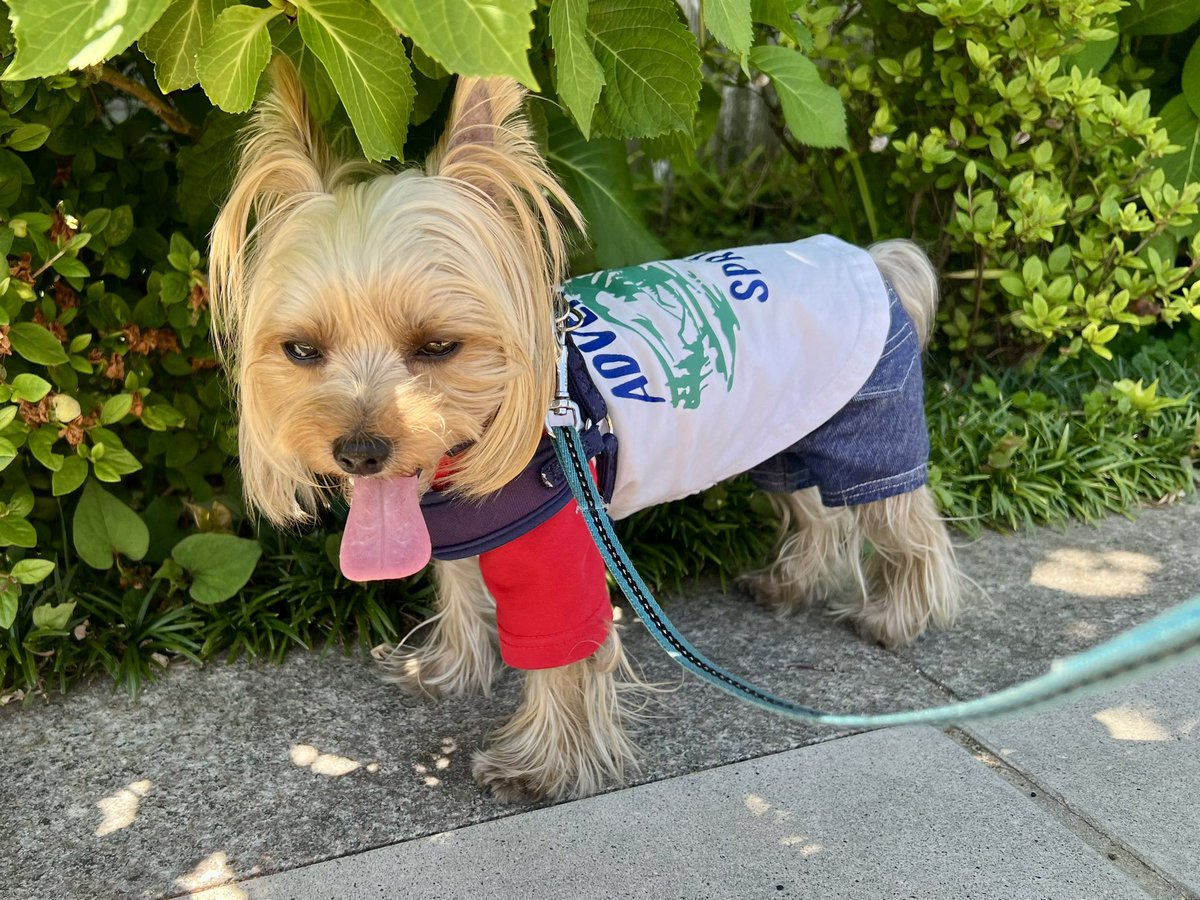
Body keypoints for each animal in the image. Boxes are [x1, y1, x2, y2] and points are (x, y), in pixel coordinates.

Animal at [211, 60, 960, 801]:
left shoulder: (558, 540)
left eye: (439, 345)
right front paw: (448, 672)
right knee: (811, 506)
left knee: (901, 521)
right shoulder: (457, 527)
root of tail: (872, 261)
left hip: (870, 424)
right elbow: (459, 588)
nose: (360, 452)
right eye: (301, 350)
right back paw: (789, 584)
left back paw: (896, 619)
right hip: (784, 430)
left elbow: (564, 653)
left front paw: (540, 766)